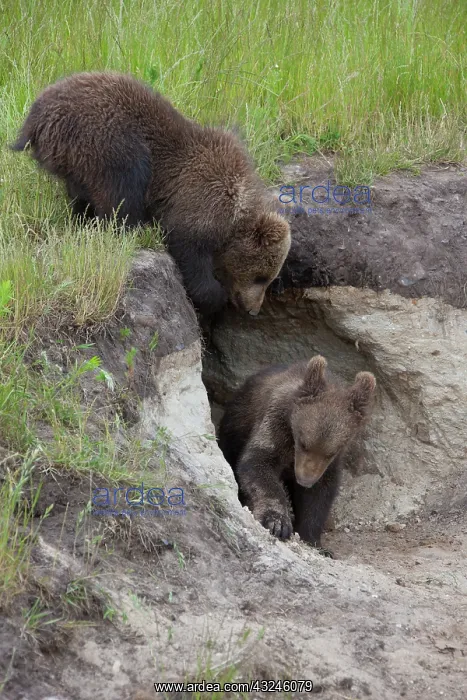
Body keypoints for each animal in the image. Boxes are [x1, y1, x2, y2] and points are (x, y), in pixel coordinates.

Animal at [12, 72, 291, 317]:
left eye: (269, 277)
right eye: (261, 277)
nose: (253, 309)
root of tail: (35, 118)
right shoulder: (202, 197)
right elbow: (188, 249)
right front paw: (214, 296)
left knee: (83, 196)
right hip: (107, 139)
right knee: (124, 188)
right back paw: (132, 227)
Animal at [218, 356, 376, 548]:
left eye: (330, 452)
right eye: (303, 443)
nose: (305, 480)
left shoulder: (329, 464)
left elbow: (319, 496)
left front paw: (313, 540)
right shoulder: (275, 425)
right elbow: (257, 463)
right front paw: (277, 523)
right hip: (235, 424)